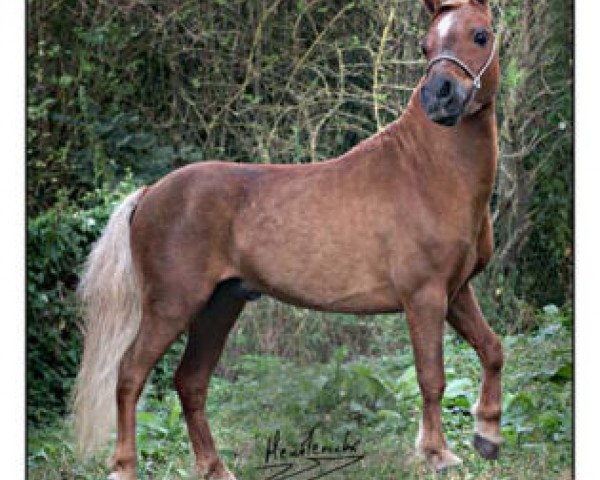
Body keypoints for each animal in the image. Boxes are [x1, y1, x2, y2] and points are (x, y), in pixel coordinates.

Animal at [76, 0, 506, 476]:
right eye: (425, 45)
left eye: (481, 35)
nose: (439, 96)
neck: (427, 172)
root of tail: (150, 193)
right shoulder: (424, 296)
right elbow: (432, 377)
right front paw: (438, 454)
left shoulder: (456, 291)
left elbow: (493, 349)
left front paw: (487, 436)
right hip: (171, 306)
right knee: (130, 374)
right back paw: (123, 467)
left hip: (218, 306)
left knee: (190, 382)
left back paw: (216, 468)